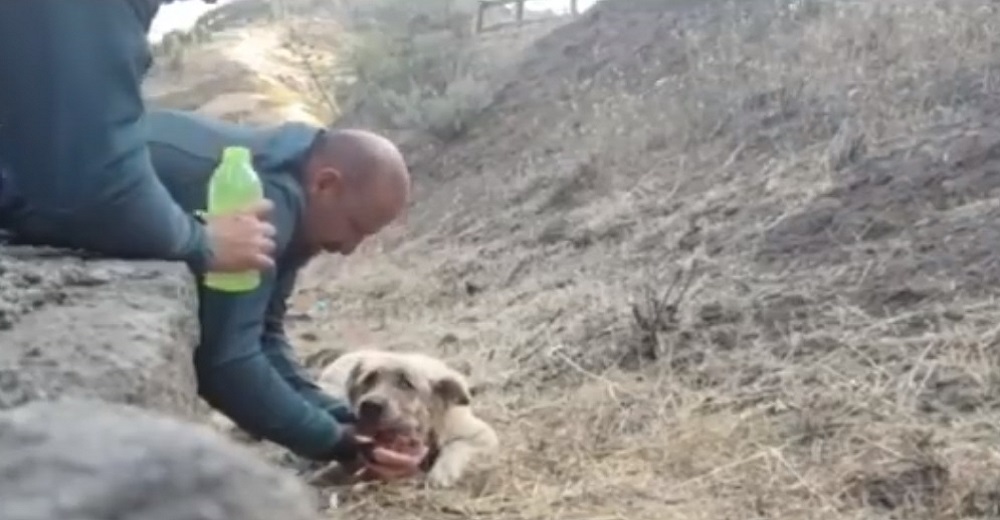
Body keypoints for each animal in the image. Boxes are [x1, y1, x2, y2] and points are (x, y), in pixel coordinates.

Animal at [316, 350, 496, 488]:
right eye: (369, 379)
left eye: (406, 384)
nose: (369, 406)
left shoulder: (483, 435)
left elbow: (457, 446)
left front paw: (441, 474)